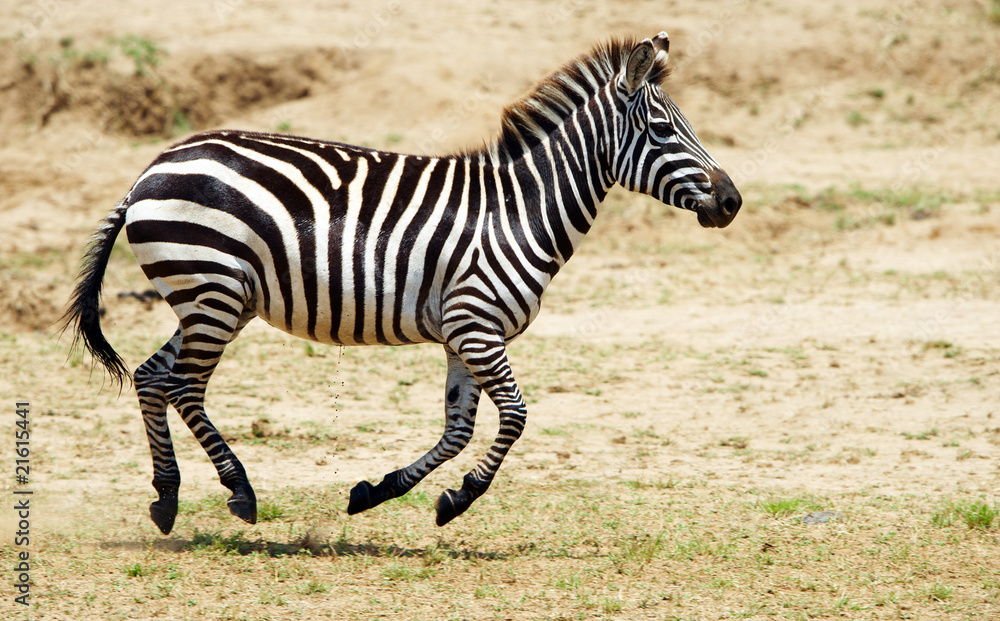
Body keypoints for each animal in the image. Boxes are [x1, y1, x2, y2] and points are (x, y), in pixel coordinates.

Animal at [60, 31, 736, 532]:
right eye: (663, 131)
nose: (731, 202)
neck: (517, 210)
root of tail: (150, 169)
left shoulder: (468, 335)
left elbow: (458, 429)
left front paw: (378, 492)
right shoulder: (476, 324)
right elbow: (516, 416)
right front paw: (459, 499)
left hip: (209, 298)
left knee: (152, 376)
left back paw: (167, 498)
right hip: (213, 291)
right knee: (184, 386)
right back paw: (240, 491)